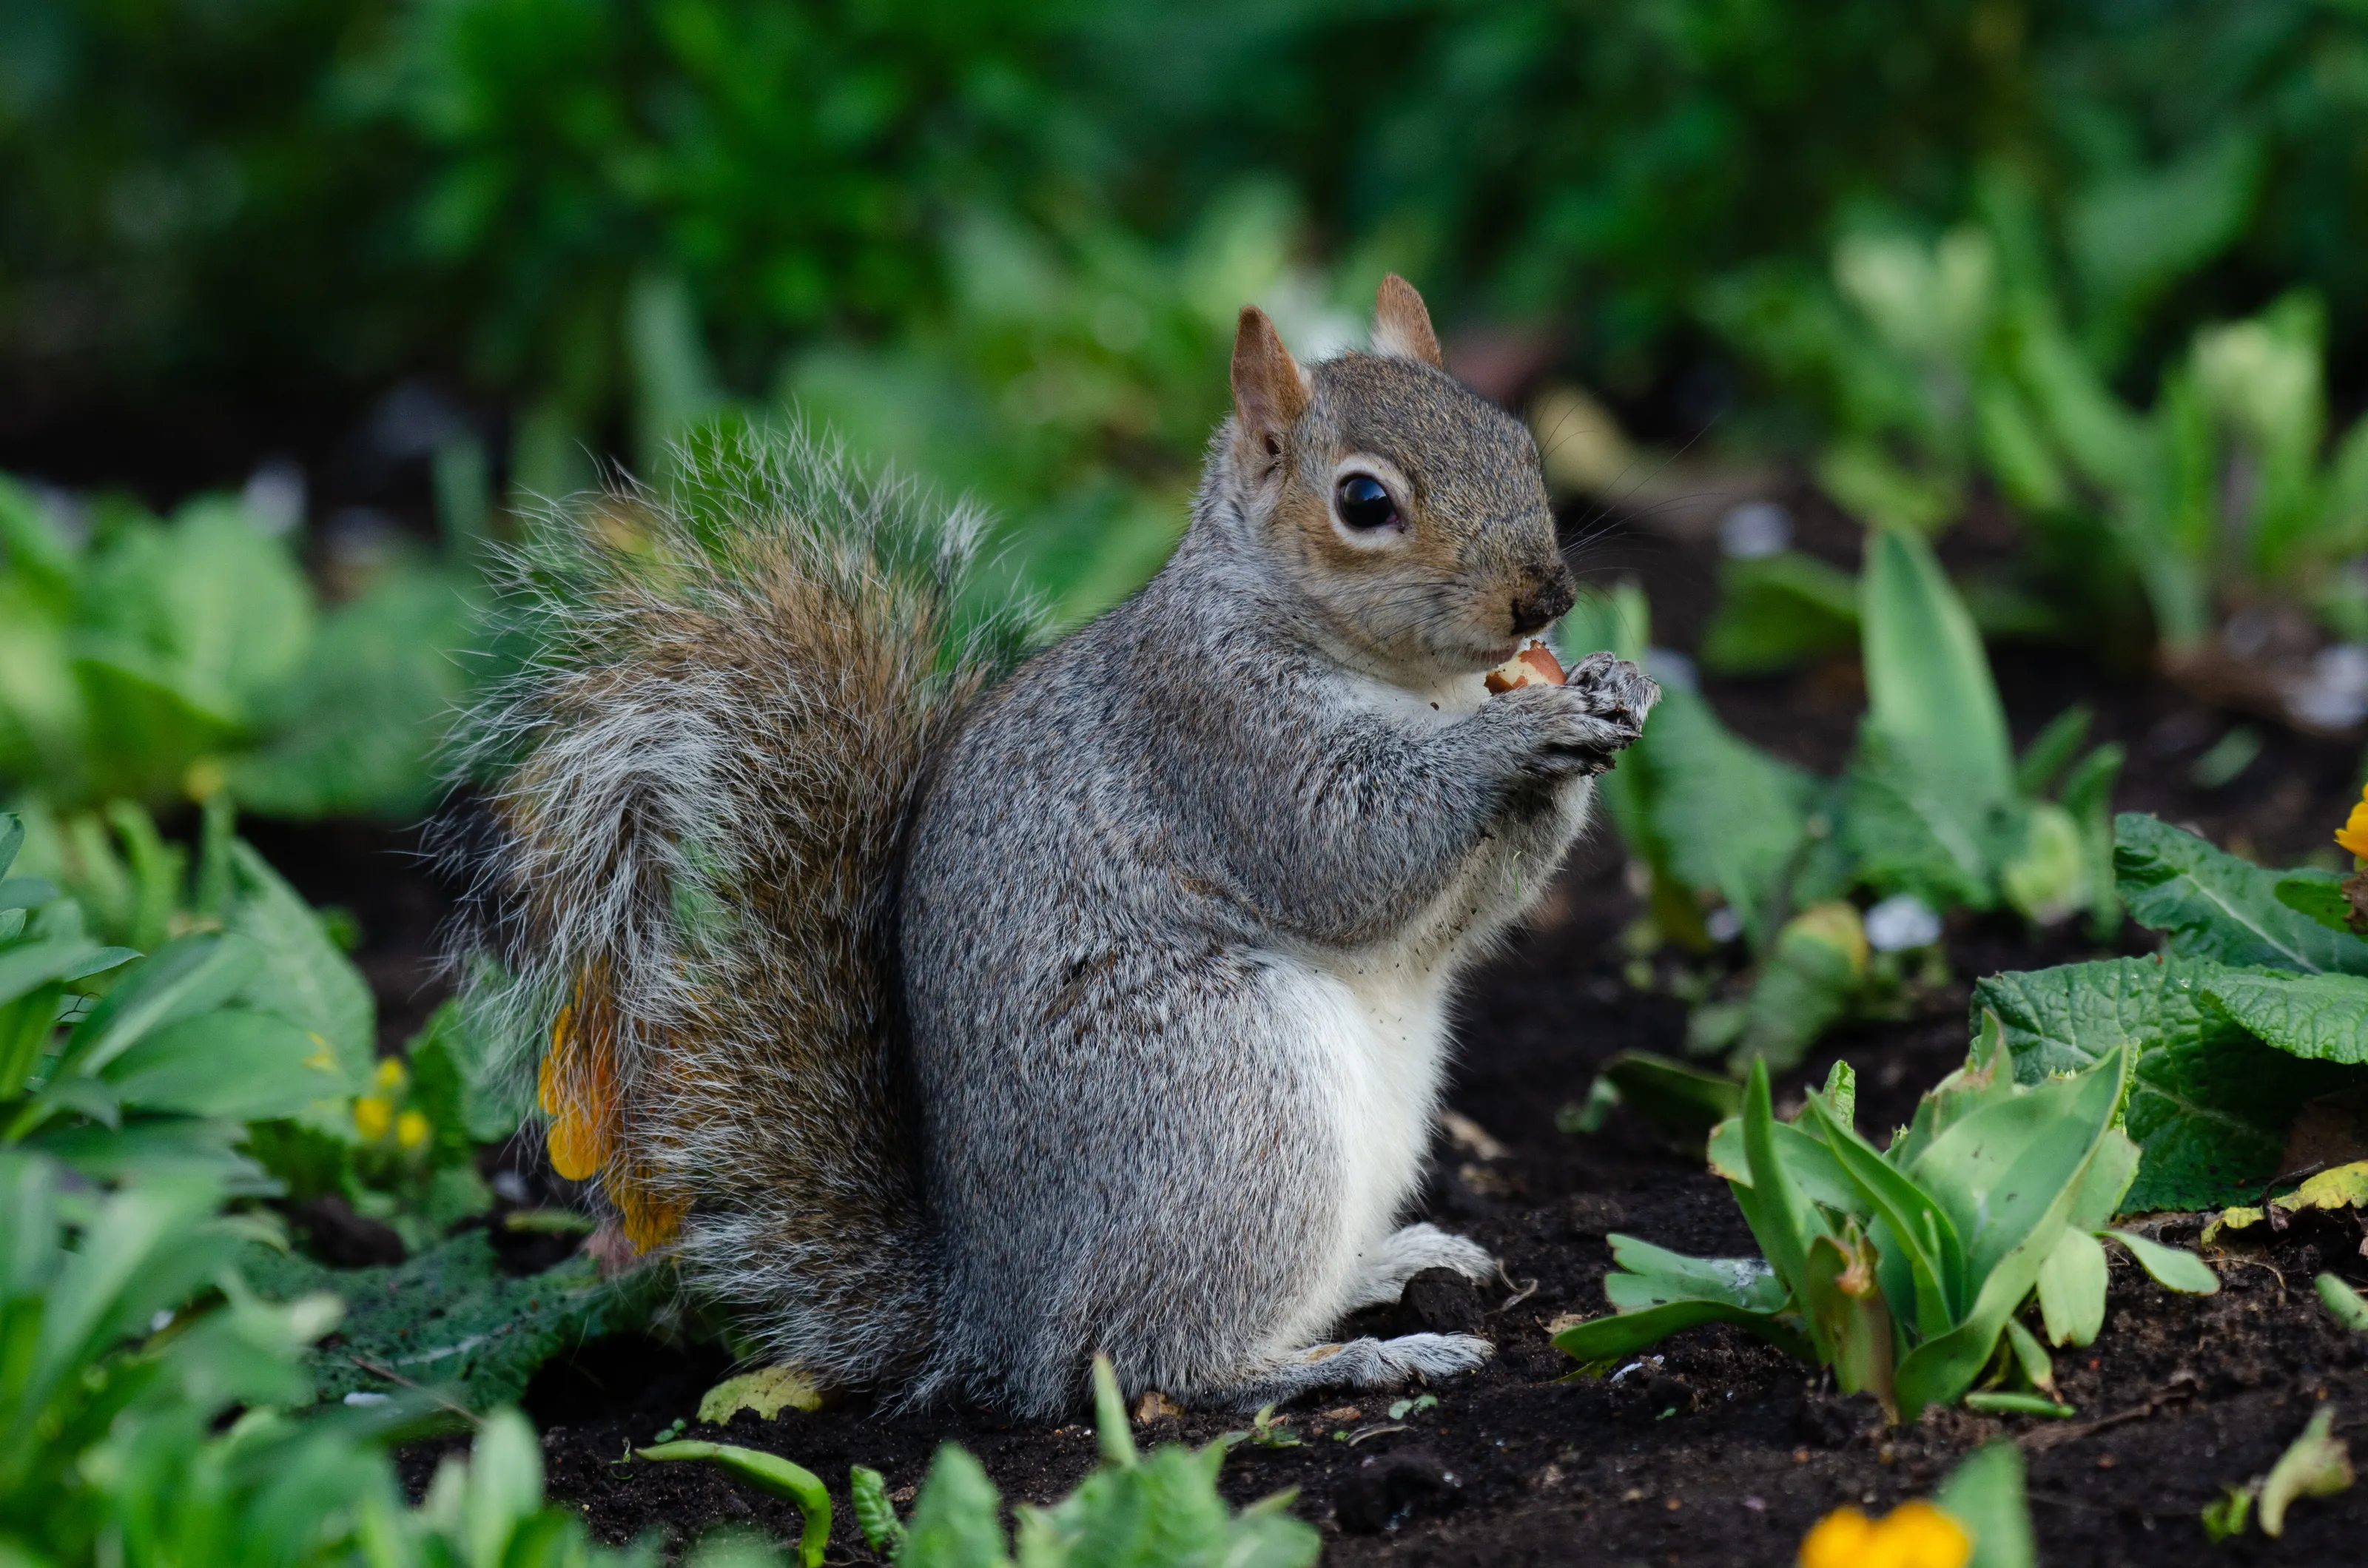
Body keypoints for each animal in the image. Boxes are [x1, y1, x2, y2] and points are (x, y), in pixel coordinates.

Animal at [444, 276, 1657, 1418]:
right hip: (1228, 1113)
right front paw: (1525, 732)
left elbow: (1475, 904)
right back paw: (1360, 1358)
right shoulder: (1219, 737)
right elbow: (1348, 852)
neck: (1417, 686)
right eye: (1365, 501)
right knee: (1149, 1360)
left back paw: (1393, 1266)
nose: (1546, 595)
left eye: (1514, 440)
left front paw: (1612, 683)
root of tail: (990, 1322)